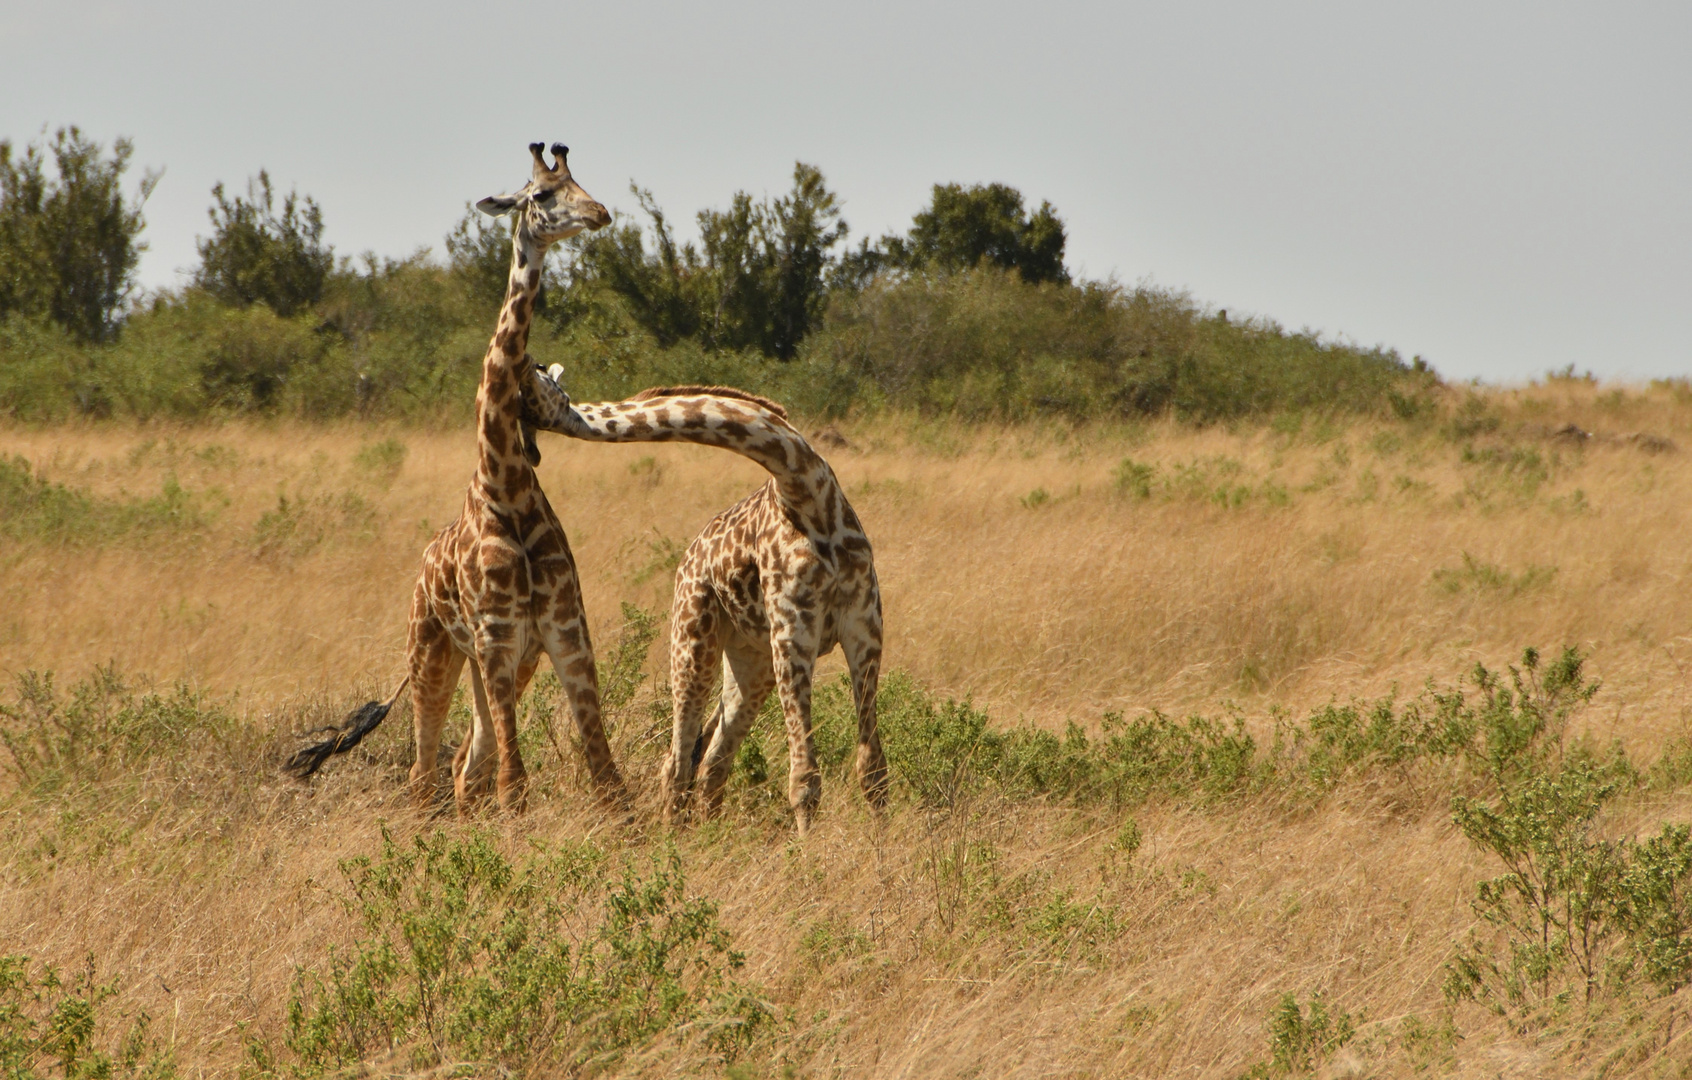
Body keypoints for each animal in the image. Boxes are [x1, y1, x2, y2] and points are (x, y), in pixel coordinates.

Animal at [284, 145, 629, 819]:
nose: (600, 213)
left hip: (501, 661)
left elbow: (605, 775)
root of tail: (420, 570)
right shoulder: (497, 636)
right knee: (427, 772)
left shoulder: (563, 633)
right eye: (542, 195)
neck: (508, 485)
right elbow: (515, 783)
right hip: (432, 653)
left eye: (580, 181)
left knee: (467, 767)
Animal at [517, 372, 893, 839]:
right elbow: (805, 778)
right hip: (694, 644)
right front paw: (811, 853)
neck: (807, 492)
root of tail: (686, 560)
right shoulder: (795, 633)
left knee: (713, 759)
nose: (528, 447)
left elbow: (873, 769)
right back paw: (676, 840)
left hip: (752, 662)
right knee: (677, 760)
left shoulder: (865, 628)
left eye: (533, 395)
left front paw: (882, 846)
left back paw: (710, 836)